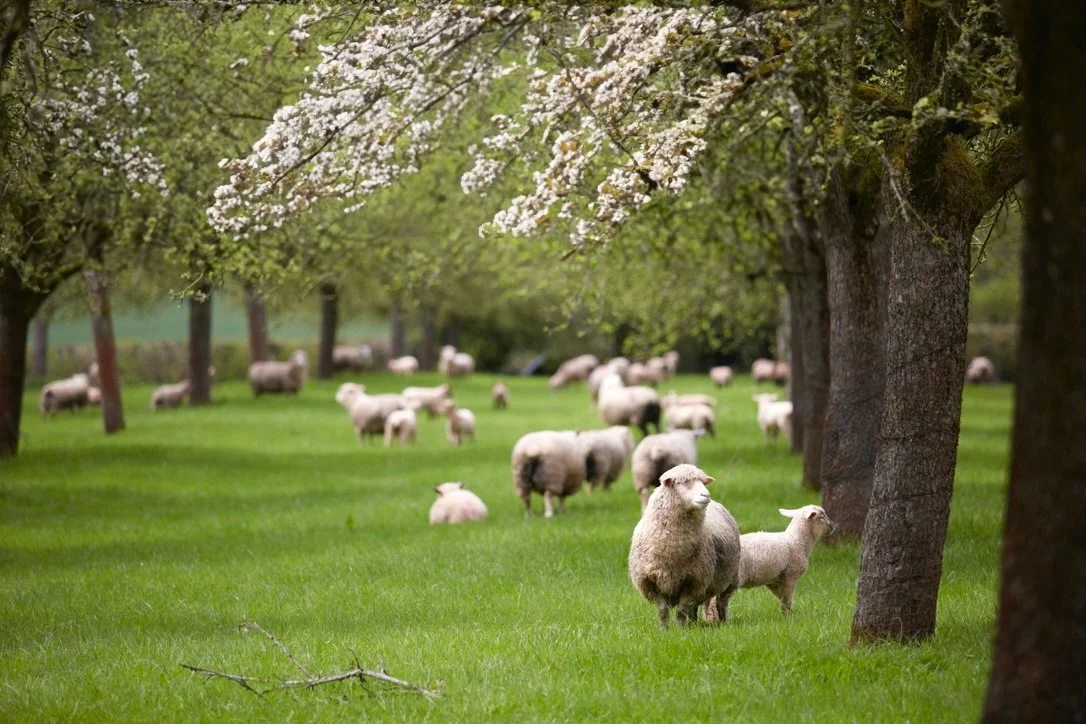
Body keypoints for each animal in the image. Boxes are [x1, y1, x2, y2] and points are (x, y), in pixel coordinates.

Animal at [628, 463, 741, 629]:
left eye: (704, 482)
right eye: (684, 482)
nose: (706, 495)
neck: (672, 551)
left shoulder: (692, 581)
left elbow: (681, 611)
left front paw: (681, 630)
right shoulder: (651, 582)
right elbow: (663, 611)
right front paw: (664, 630)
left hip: (728, 579)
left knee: (721, 603)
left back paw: (722, 622)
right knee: (694, 608)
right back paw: (693, 623)